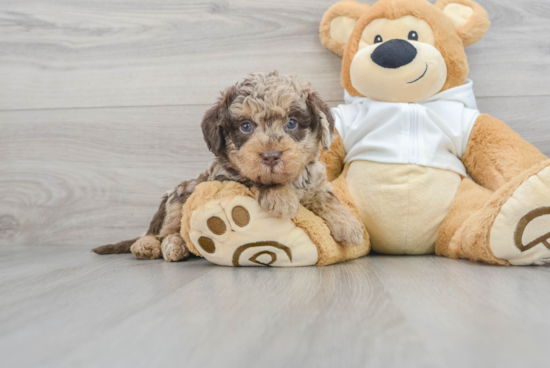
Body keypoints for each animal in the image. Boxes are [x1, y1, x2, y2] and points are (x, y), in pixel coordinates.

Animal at [92, 72, 364, 262]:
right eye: (245, 126)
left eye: (292, 123)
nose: (271, 156)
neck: (289, 181)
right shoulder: (225, 177)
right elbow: (252, 179)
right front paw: (279, 196)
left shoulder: (314, 182)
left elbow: (327, 198)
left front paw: (349, 225)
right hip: (178, 197)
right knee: (162, 232)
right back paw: (153, 246)